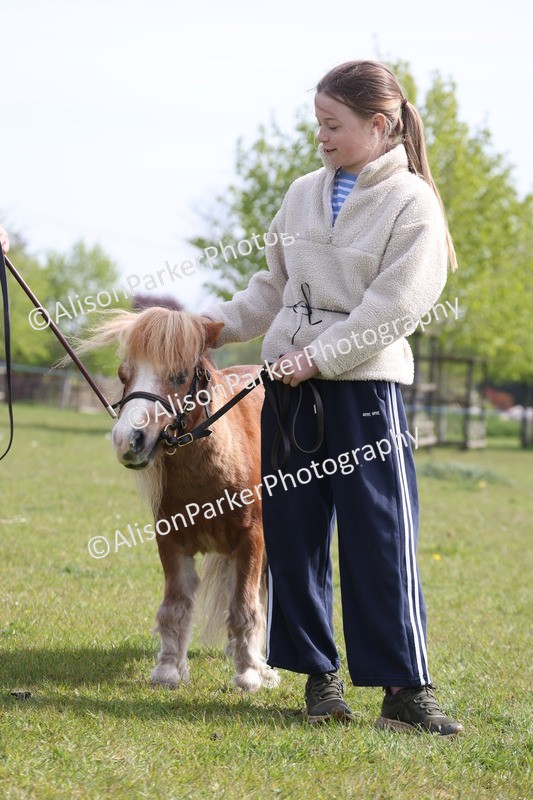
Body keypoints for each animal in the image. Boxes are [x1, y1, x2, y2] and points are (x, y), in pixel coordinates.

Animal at [79, 306, 279, 692]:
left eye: (179, 376)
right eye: (123, 375)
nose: (127, 440)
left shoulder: (253, 541)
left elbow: (245, 606)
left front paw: (250, 673)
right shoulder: (171, 542)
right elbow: (175, 605)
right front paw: (169, 669)